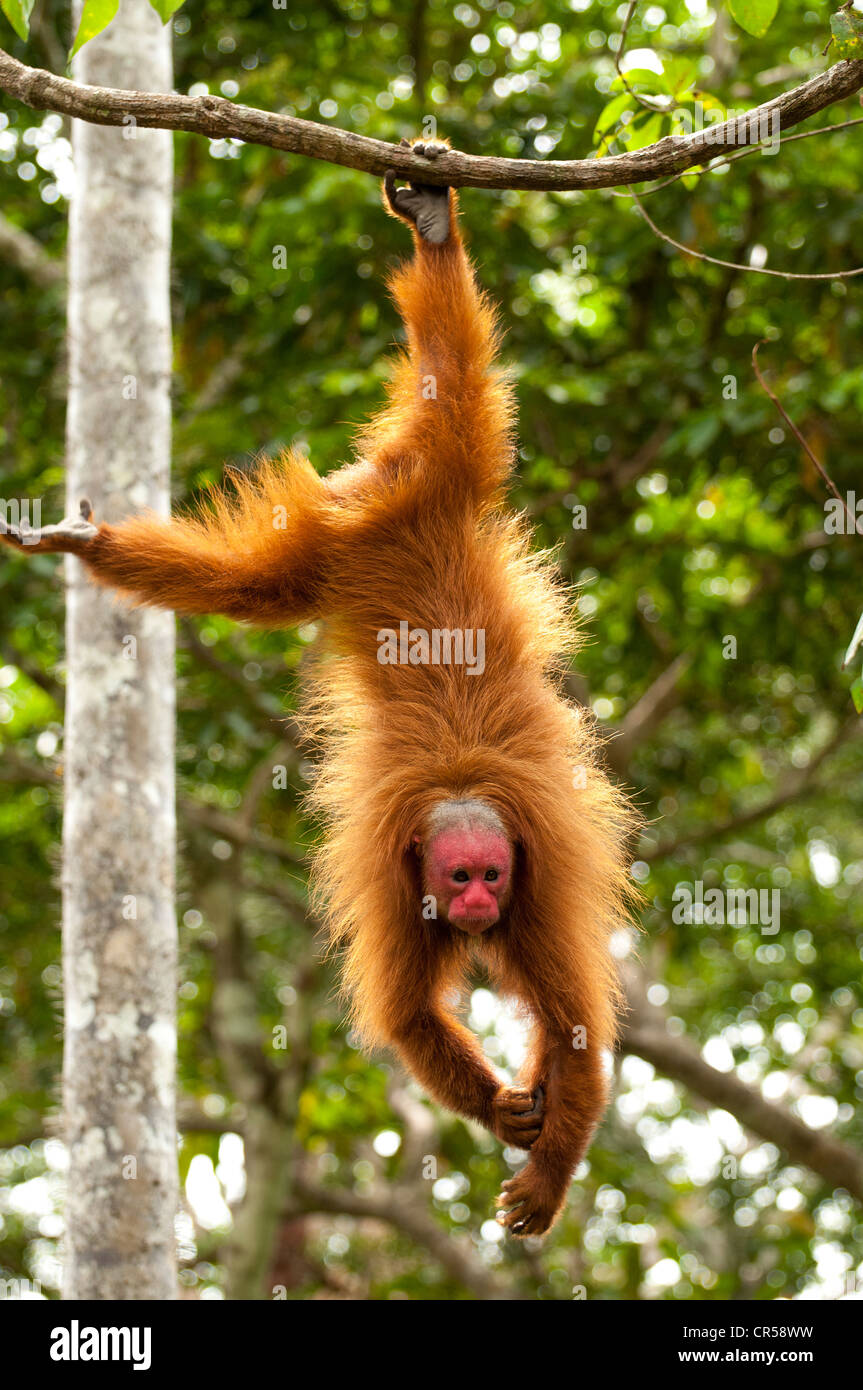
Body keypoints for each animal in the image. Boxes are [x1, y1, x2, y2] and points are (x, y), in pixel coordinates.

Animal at [1, 138, 633, 1228]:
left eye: (490, 876)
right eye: (457, 878)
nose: (474, 908)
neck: (460, 794)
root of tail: (395, 515)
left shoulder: (543, 890)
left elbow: (577, 1038)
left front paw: (547, 1172)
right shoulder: (395, 880)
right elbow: (408, 1014)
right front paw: (503, 1113)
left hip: (444, 476)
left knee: (459, 380)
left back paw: (435, 235)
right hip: (337, 546)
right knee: (240, 583)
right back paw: (103, 548)